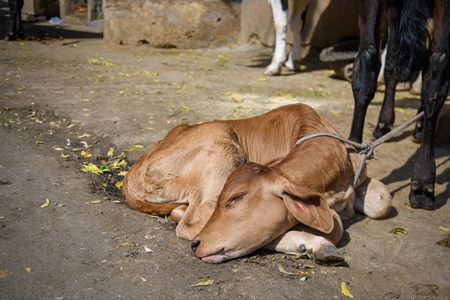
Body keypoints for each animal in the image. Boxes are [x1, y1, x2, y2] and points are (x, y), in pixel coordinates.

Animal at [122, 103, 390, 264]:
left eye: (237, 197)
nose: (198, 246)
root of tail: (133, 169)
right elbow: (335, 225)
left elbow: (383, 202)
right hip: (224, 143)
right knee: (191, 225)